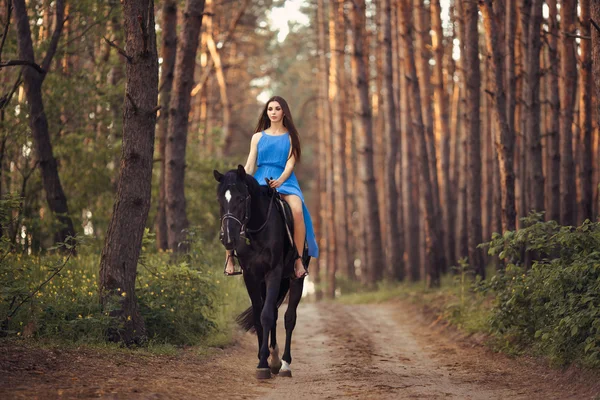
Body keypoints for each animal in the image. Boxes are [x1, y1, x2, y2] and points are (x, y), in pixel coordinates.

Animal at [214, 165, 310, 378]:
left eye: (241, 198)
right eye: (220, 200)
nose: (228, 238)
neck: (257, 230)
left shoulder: (273, 272)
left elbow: (266, 315)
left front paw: (264, 364)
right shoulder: (251, 276)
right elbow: (260, 316)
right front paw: (262, 360)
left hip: (294, 279)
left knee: (289, 317)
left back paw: (284, 364)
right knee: (273, 311)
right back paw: (274, 359)